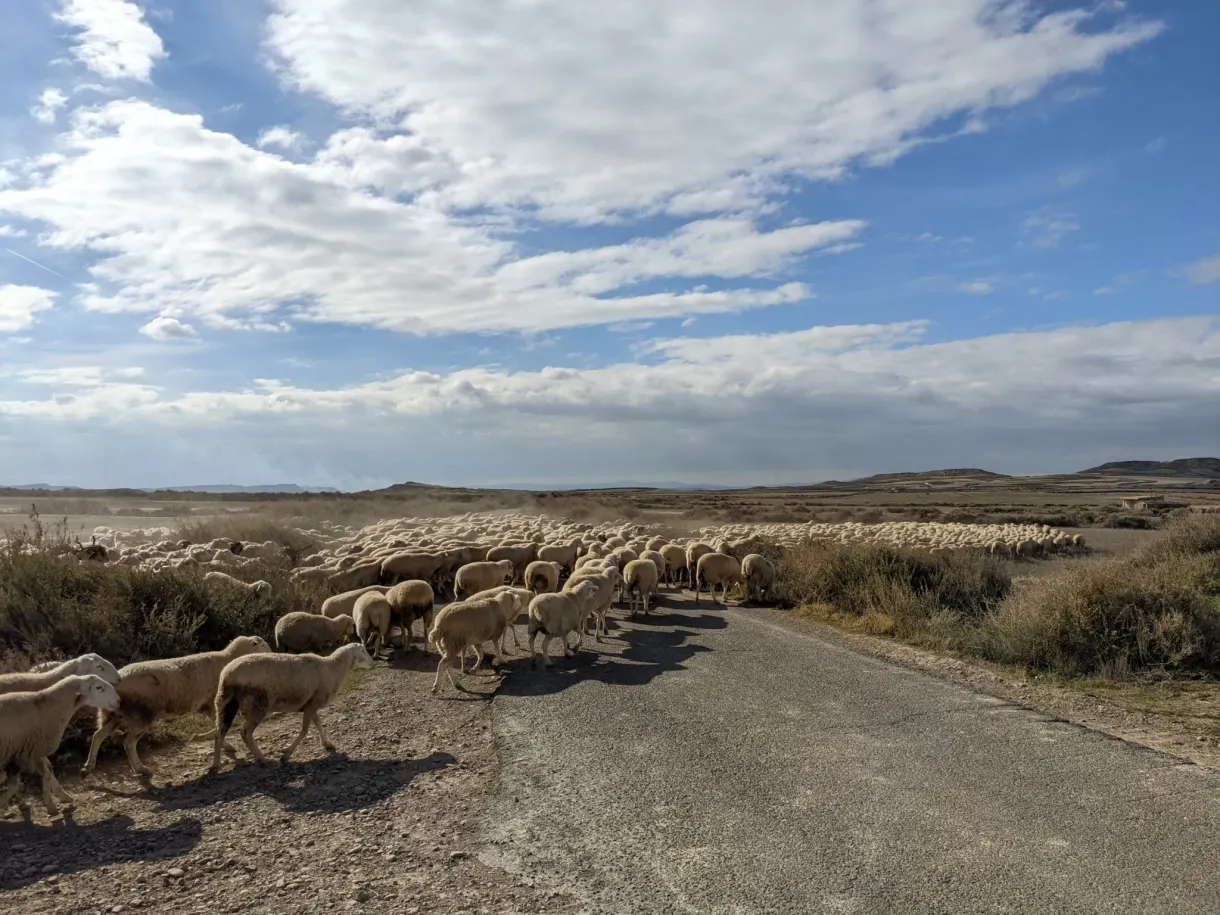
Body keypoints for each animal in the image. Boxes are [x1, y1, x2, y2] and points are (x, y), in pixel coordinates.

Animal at [1, 676, 120, 815]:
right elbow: (45, 775)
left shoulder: (29, 752)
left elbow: (49, 770)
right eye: (98, 687)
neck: (48, 706)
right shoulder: (30, 752)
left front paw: (63, 797)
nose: (119, 701)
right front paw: (51, 806)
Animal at [82, 635, 273, 777]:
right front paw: (210, 740)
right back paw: (140, 769)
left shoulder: (208, 704)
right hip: (140, 714)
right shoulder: (215, 702)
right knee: (128, 743)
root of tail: (114, 682)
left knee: (98, 736)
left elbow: (217, 725)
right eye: (263, 644)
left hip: (114, 713)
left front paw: (215, 741)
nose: (274, 653)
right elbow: (218, 726)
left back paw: (88, 766)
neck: (229, 658)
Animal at [209, 642, 374, 773]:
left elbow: (318, 723)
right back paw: (261, 759)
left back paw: (215, 766)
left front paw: (327, 744)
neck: (332, 669)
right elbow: (305, 731)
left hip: (224, 702)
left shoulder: (310, 704)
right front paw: (286, 755)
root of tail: (227, 673)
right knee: (245, 733)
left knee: (219, 732)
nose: (373, 662)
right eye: (362, 650)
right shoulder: (313, 703)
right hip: (257, 705)